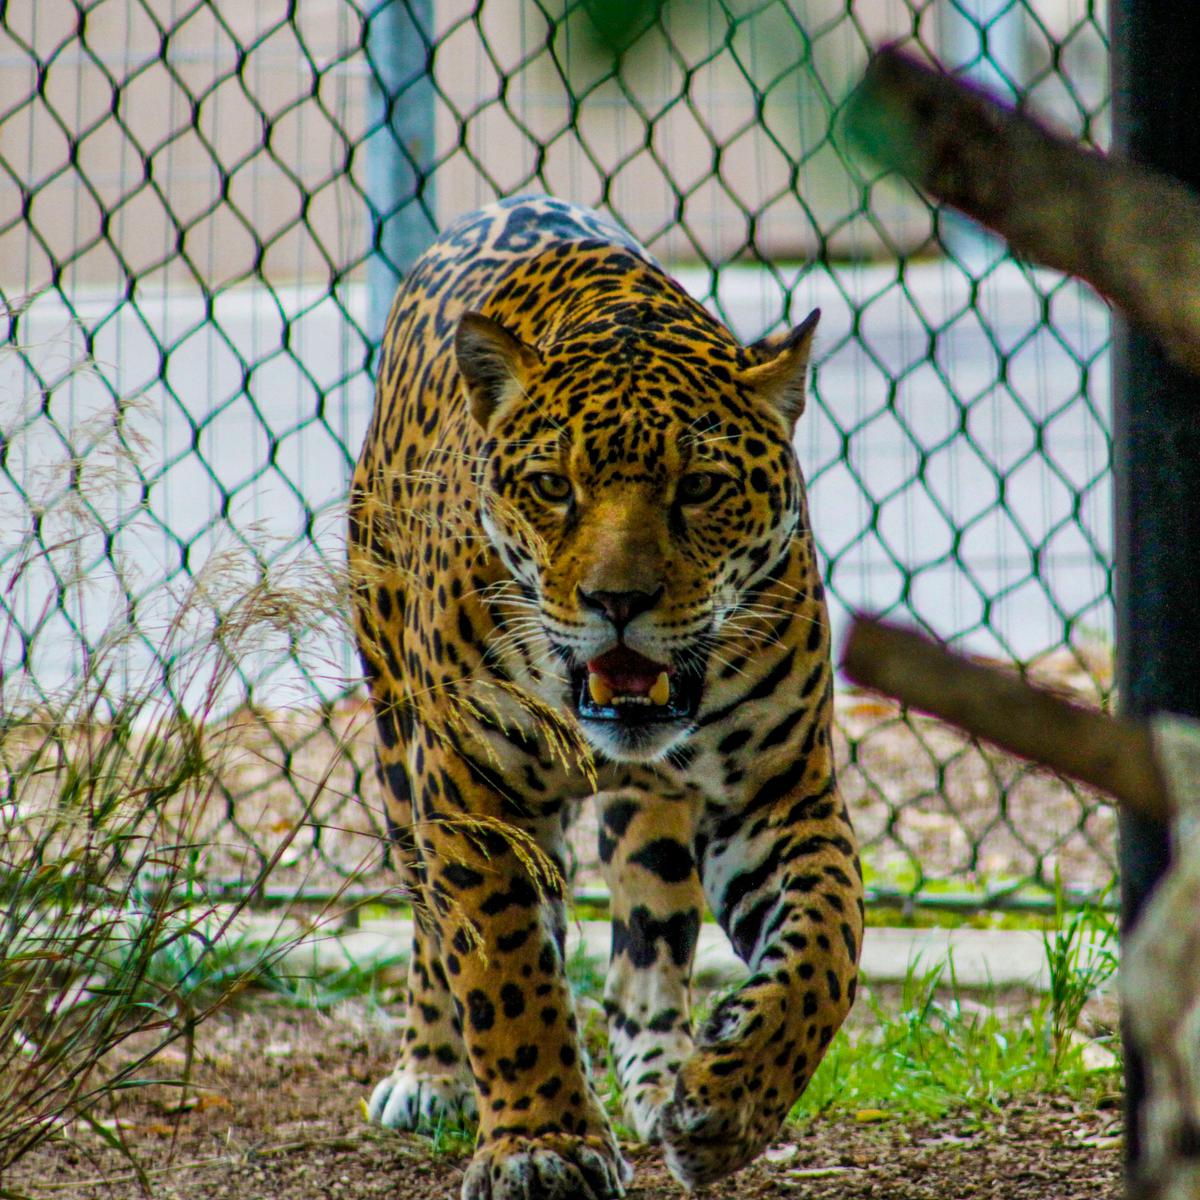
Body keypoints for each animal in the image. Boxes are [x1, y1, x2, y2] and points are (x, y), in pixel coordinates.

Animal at [348, 195, 863, 1200]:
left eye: (699, 486)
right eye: (554, 487)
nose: (617, 602)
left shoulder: (779, 792)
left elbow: (827, 944)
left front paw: (728, 1099)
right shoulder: (472, 790)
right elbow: (504, 972)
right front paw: (540, 1143)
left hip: (651, 816)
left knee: (646, 948)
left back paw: (661, 1079)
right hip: (397, 738)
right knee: (432, 924)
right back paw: (433, 1074)